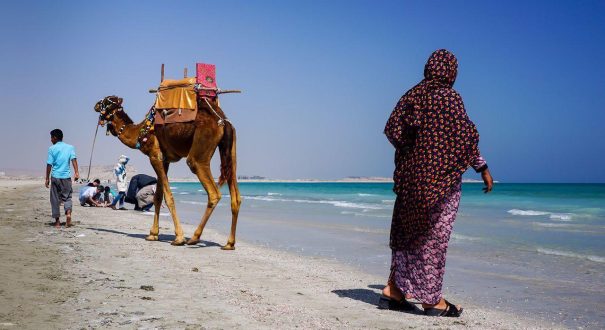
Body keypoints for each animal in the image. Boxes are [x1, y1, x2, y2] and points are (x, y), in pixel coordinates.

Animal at [93, 94, 239, 249]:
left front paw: (179, 238)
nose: (95, 105)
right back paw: (229, 243)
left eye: (106, 101)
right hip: (230, 151)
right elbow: (158, 196)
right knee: (236, 196)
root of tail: (223, 121)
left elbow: (168, 197)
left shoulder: (154, 156)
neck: (141, 132)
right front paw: (152, 234)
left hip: (200, 153)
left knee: (213, 192)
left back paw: (194, 237)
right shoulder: (165, 160)